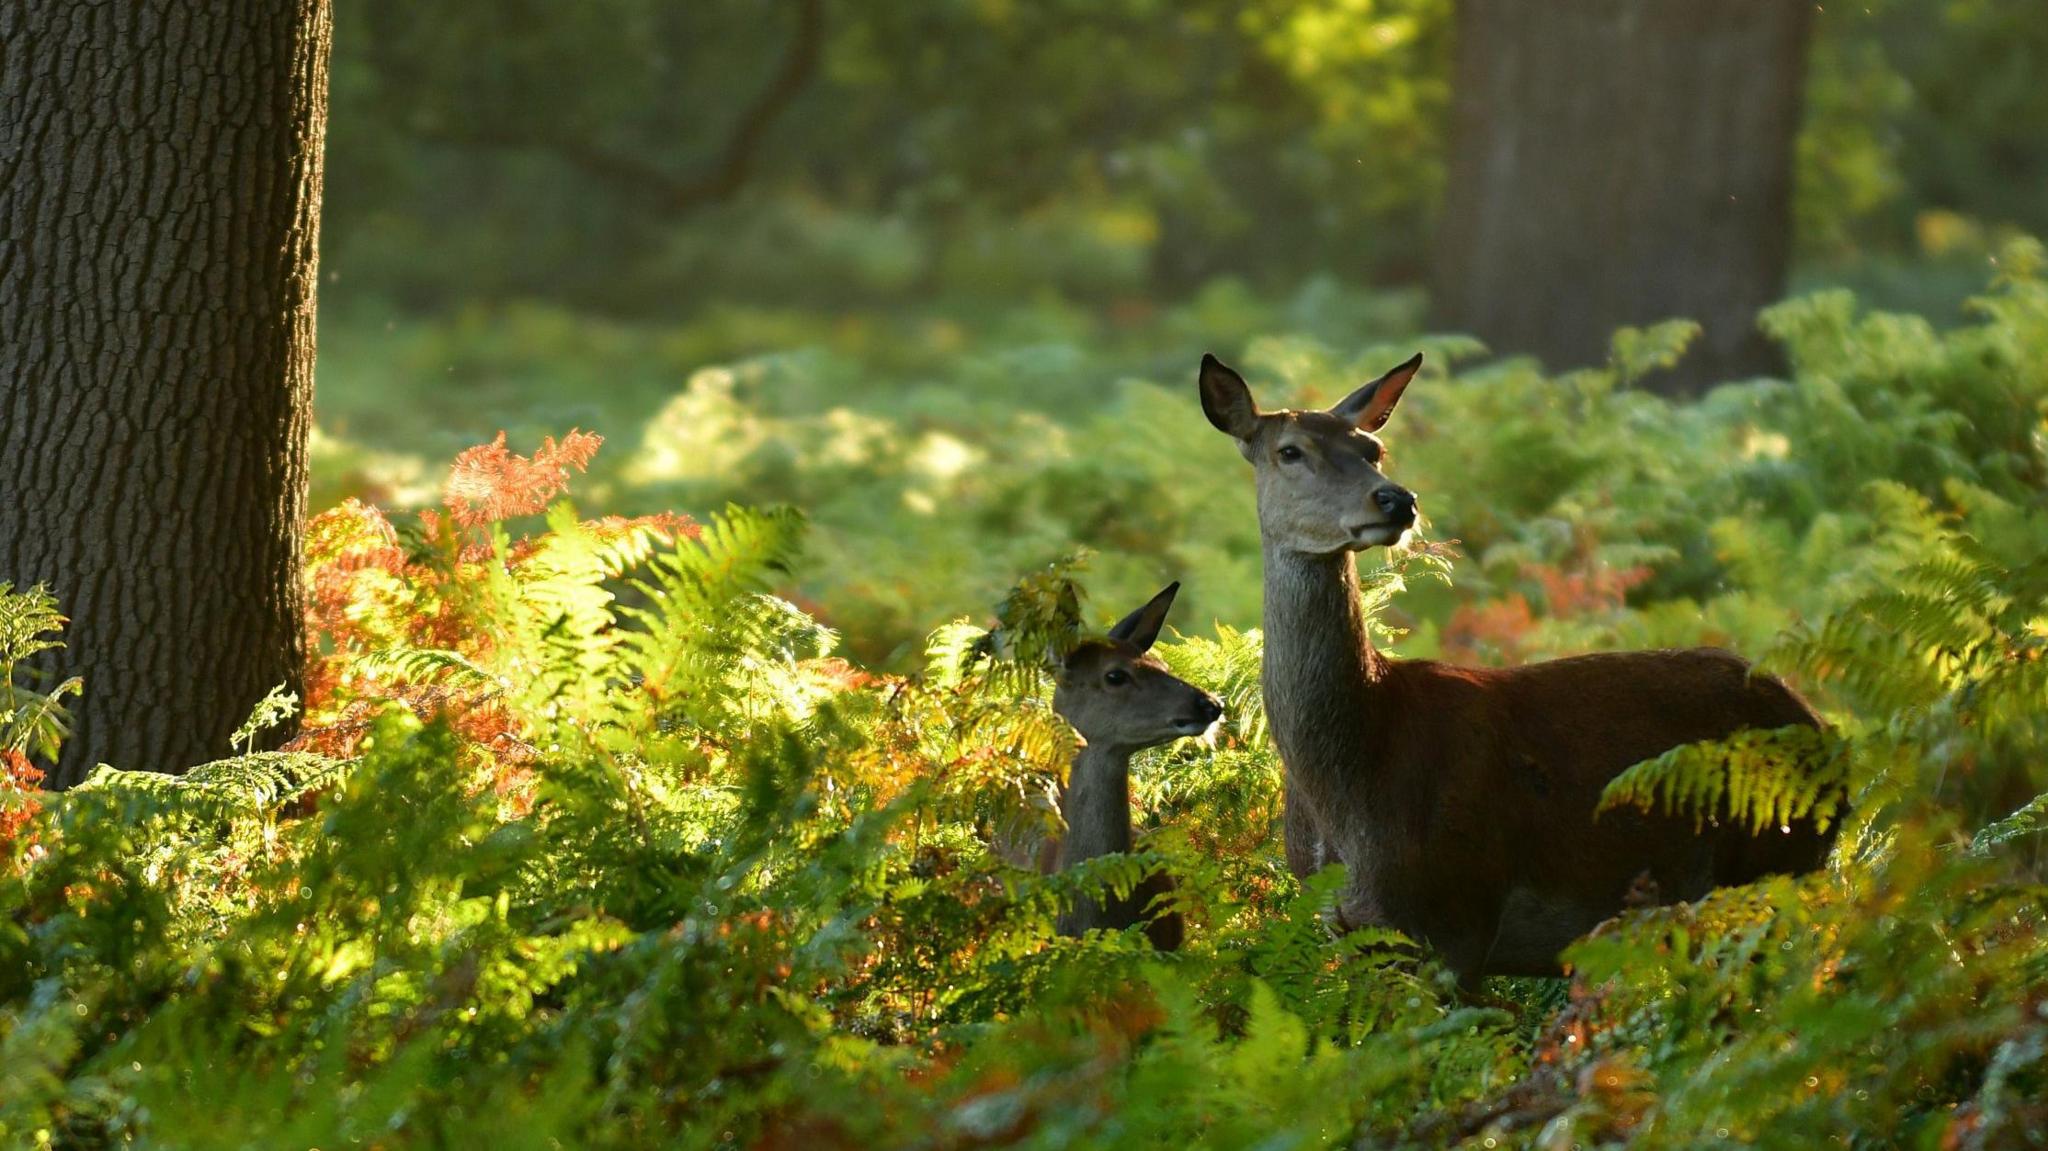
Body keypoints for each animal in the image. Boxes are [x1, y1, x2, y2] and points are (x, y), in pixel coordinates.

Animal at [1196, 352, 1835, 974]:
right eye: (1289, 450)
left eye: (1373, 449)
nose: (1397, 499)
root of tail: (1823, 730)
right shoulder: (1352, 935)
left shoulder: (1457, 918)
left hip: (1769, 867)